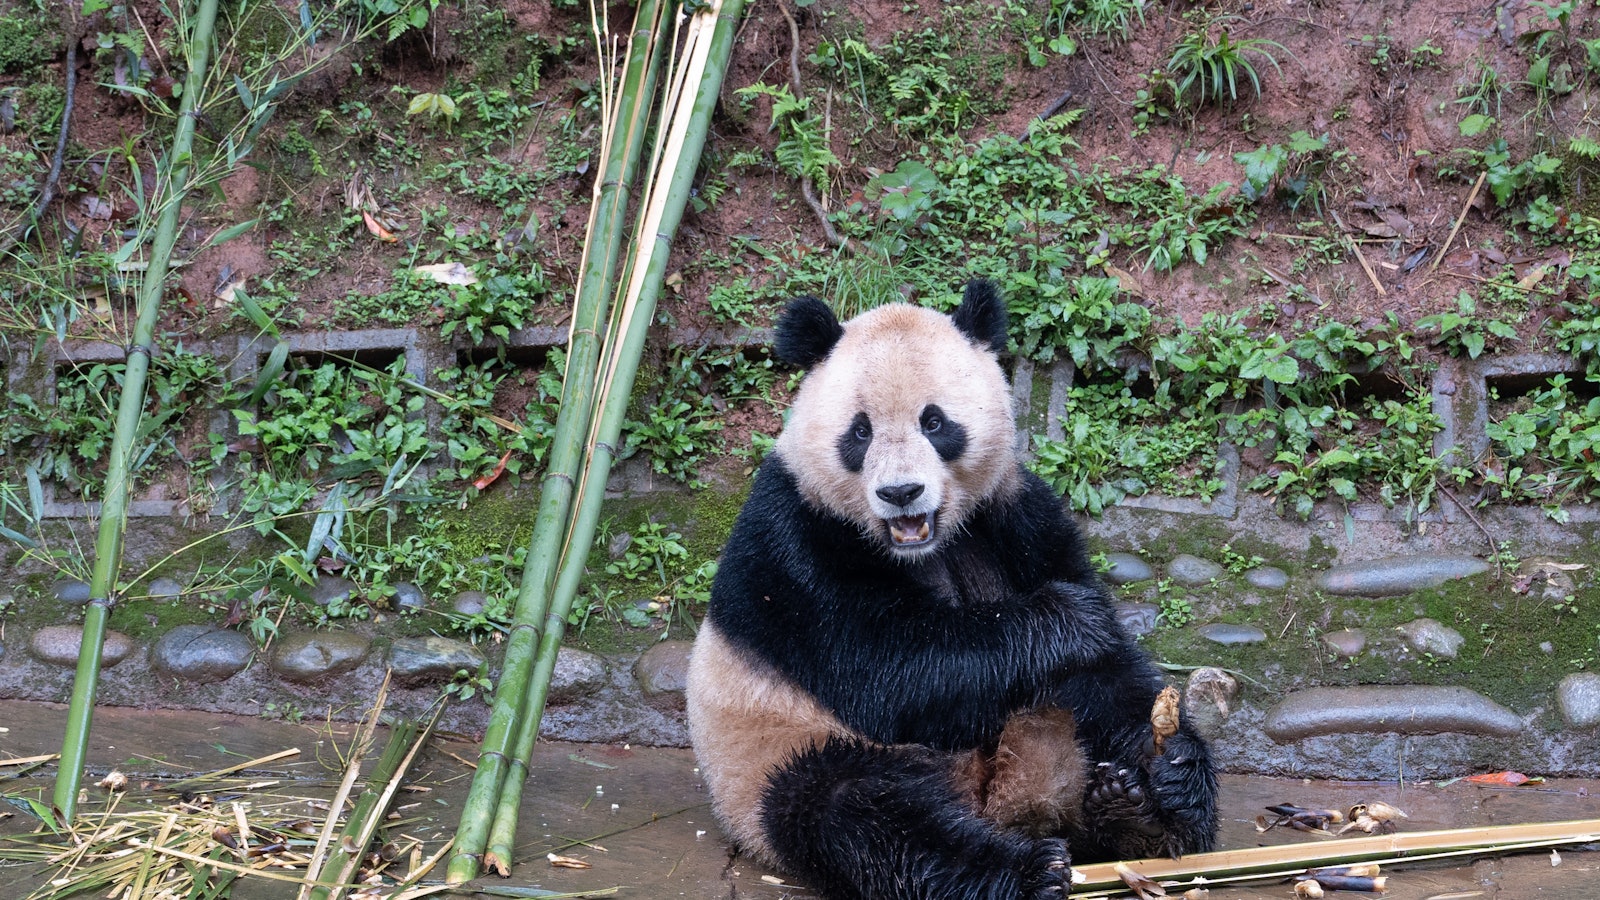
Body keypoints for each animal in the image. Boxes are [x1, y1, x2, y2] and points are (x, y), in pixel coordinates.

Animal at [681, 280, 1216, 896]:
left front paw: (1175, 772)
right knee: (862, 815)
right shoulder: (794, 540)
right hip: (776, 756)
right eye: (859, 431)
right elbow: (887, 669)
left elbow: (1106, 673)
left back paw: (1133, 817)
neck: (925, 544)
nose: (900, 493)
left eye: (934, 423)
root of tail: (994, 806)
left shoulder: (1015, 513)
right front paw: (1069, 618)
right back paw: (1025, 871)